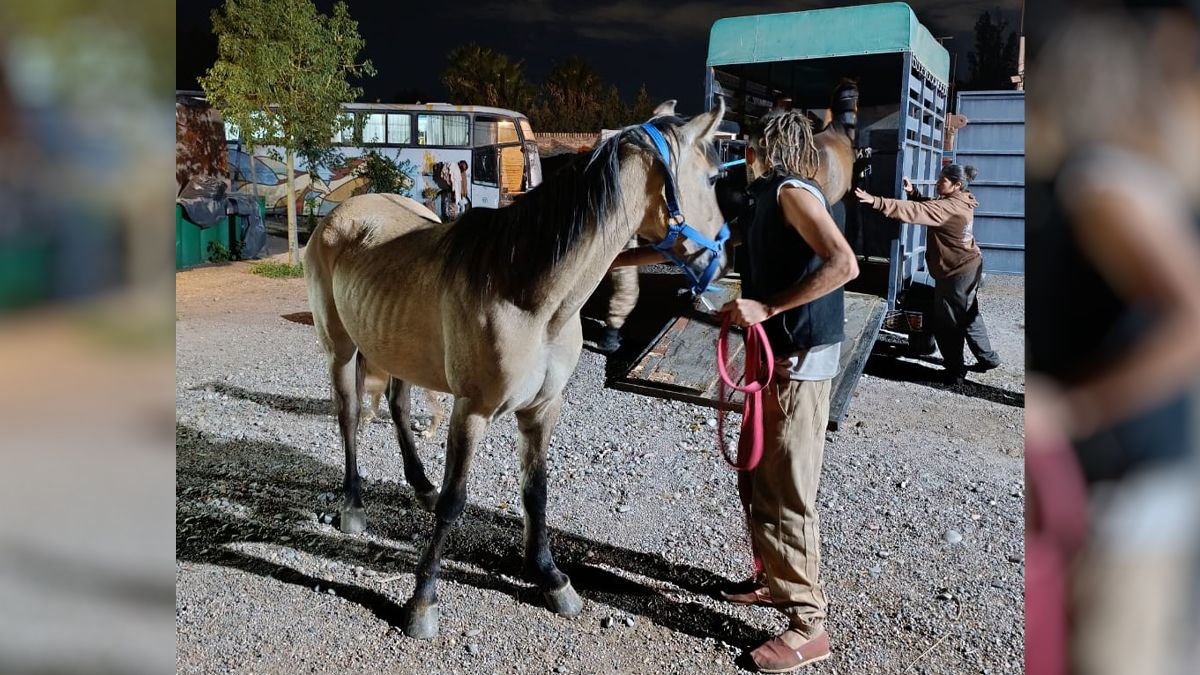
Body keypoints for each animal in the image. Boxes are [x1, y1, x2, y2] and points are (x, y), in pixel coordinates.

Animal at [303, 100, 729, 638]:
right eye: (714, 177)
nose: (721, 256)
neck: (527, 293)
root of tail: (339, 216)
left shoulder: (543, 408)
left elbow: (536, 491)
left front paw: (550, 577)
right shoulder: (472, 411)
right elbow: (456, 501)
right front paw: (422, 602)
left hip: (396, 348)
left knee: (398, 409)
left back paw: (420, 485)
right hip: (339, 349)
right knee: (350, 417)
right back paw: (354, 506)